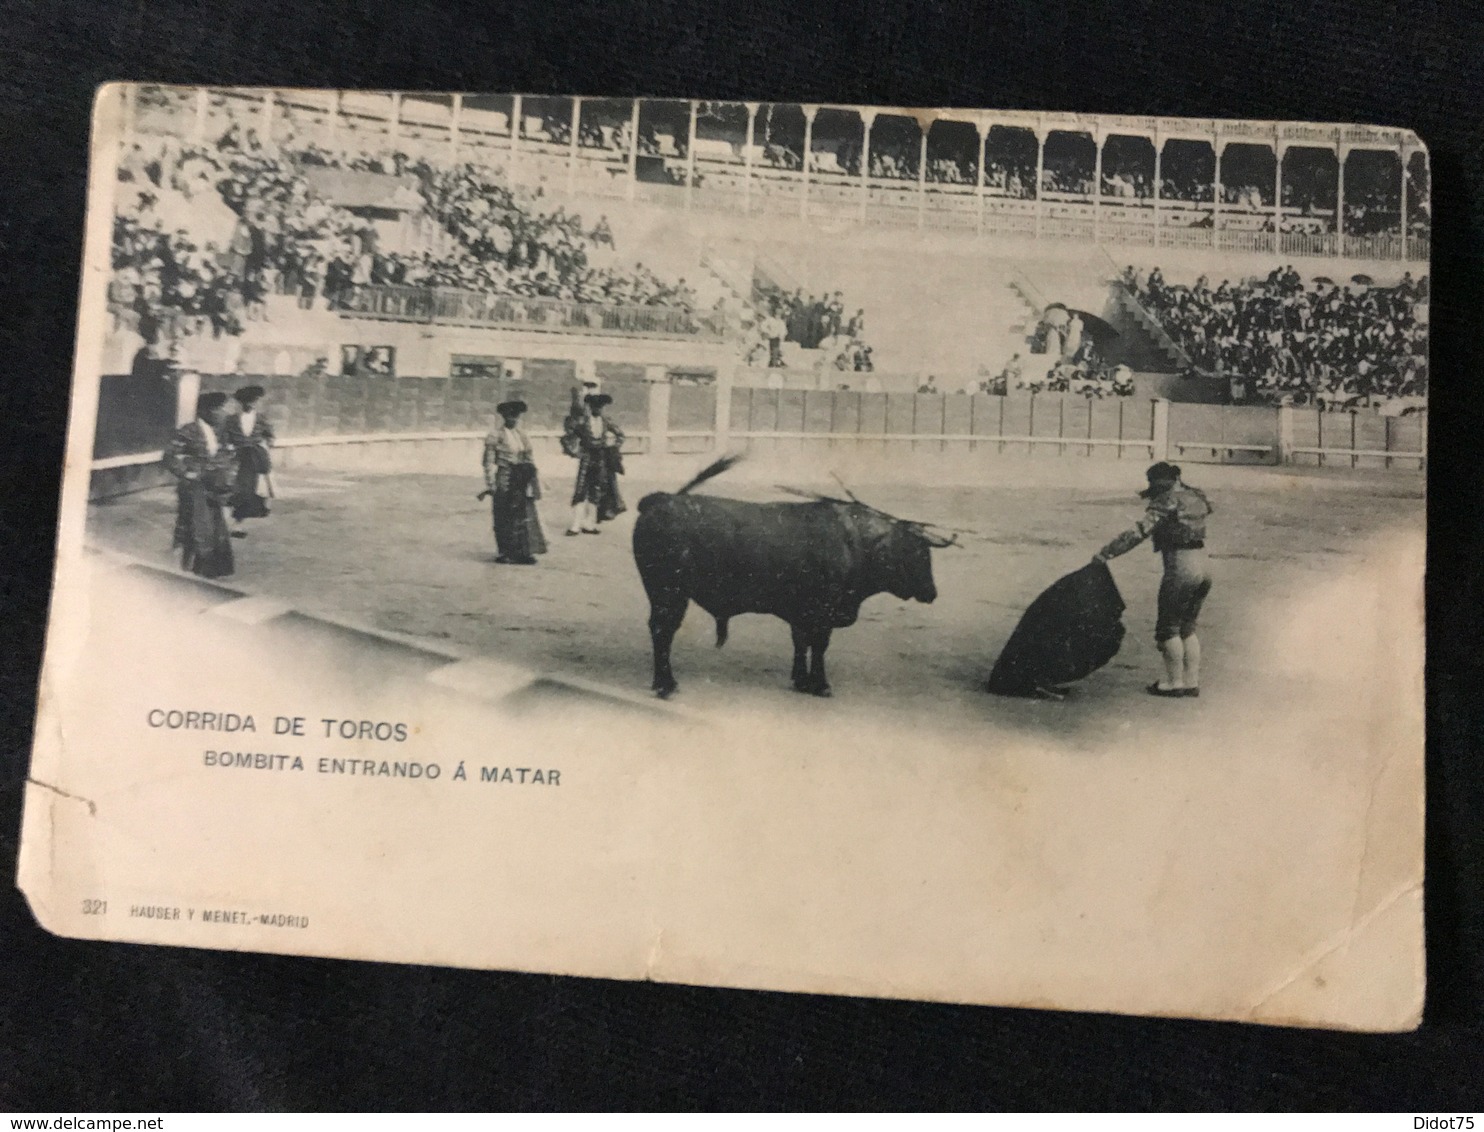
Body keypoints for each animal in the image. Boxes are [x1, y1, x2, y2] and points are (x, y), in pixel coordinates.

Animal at [632, 465, 943, 694]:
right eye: (916, 554)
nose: (932, 593)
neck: (854, 542)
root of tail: (661, 500)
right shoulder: (822, 614)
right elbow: (818, 646)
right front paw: (820, 685)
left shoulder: (802, 614)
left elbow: (801, 643)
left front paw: (801, 680)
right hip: (669, 593)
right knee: (663, 630)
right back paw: (665, 685)